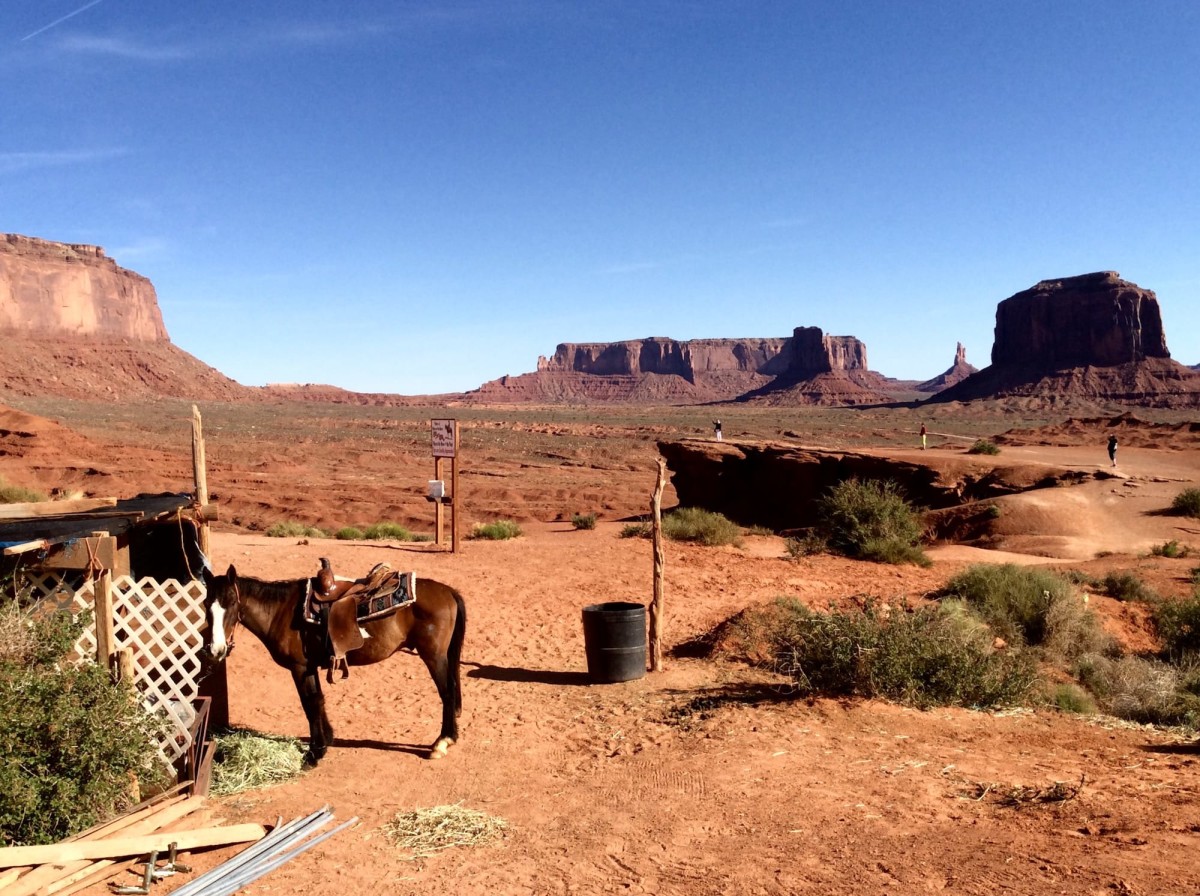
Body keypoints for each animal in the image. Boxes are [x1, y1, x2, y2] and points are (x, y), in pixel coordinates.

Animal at [204, 563, 465, 762]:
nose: (216, 650)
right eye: (207, 606)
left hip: (433, 656)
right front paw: (326, 739)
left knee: (447, 692)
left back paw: (441, 742)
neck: (281, 612)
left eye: (232, 604)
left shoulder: (300, 667)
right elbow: (318, 700)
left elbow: (310, 703)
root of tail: (448, 591)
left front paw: (315, 752)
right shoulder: (310, 667)